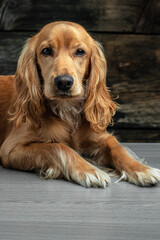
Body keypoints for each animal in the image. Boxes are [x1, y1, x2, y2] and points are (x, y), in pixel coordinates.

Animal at [0, 21, 160, 188]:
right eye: (46, 51)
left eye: (80, 52)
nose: (63, 82)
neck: (67, 109)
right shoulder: (11, 148)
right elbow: (58, 146)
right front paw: (89, 170)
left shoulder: (100, 137)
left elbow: (117, 147)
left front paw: (141, 169)